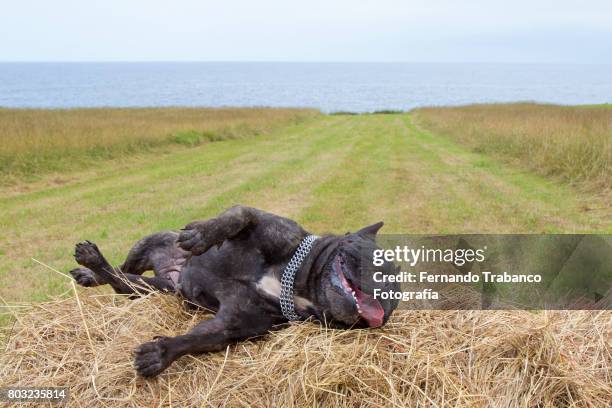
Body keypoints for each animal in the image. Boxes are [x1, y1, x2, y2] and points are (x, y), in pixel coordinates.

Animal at [69, 206, 400, 378]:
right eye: (381, 263)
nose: (390, 298)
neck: (293, 284)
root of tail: (170, 274)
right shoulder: (264, 222)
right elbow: (239, 214)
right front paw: (202, 234)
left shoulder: (229, 325)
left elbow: (197, 339)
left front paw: (160, 354)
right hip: (146, 244)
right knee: (121, 268)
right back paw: (90, 267)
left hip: (152, 290)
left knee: (121, 282)